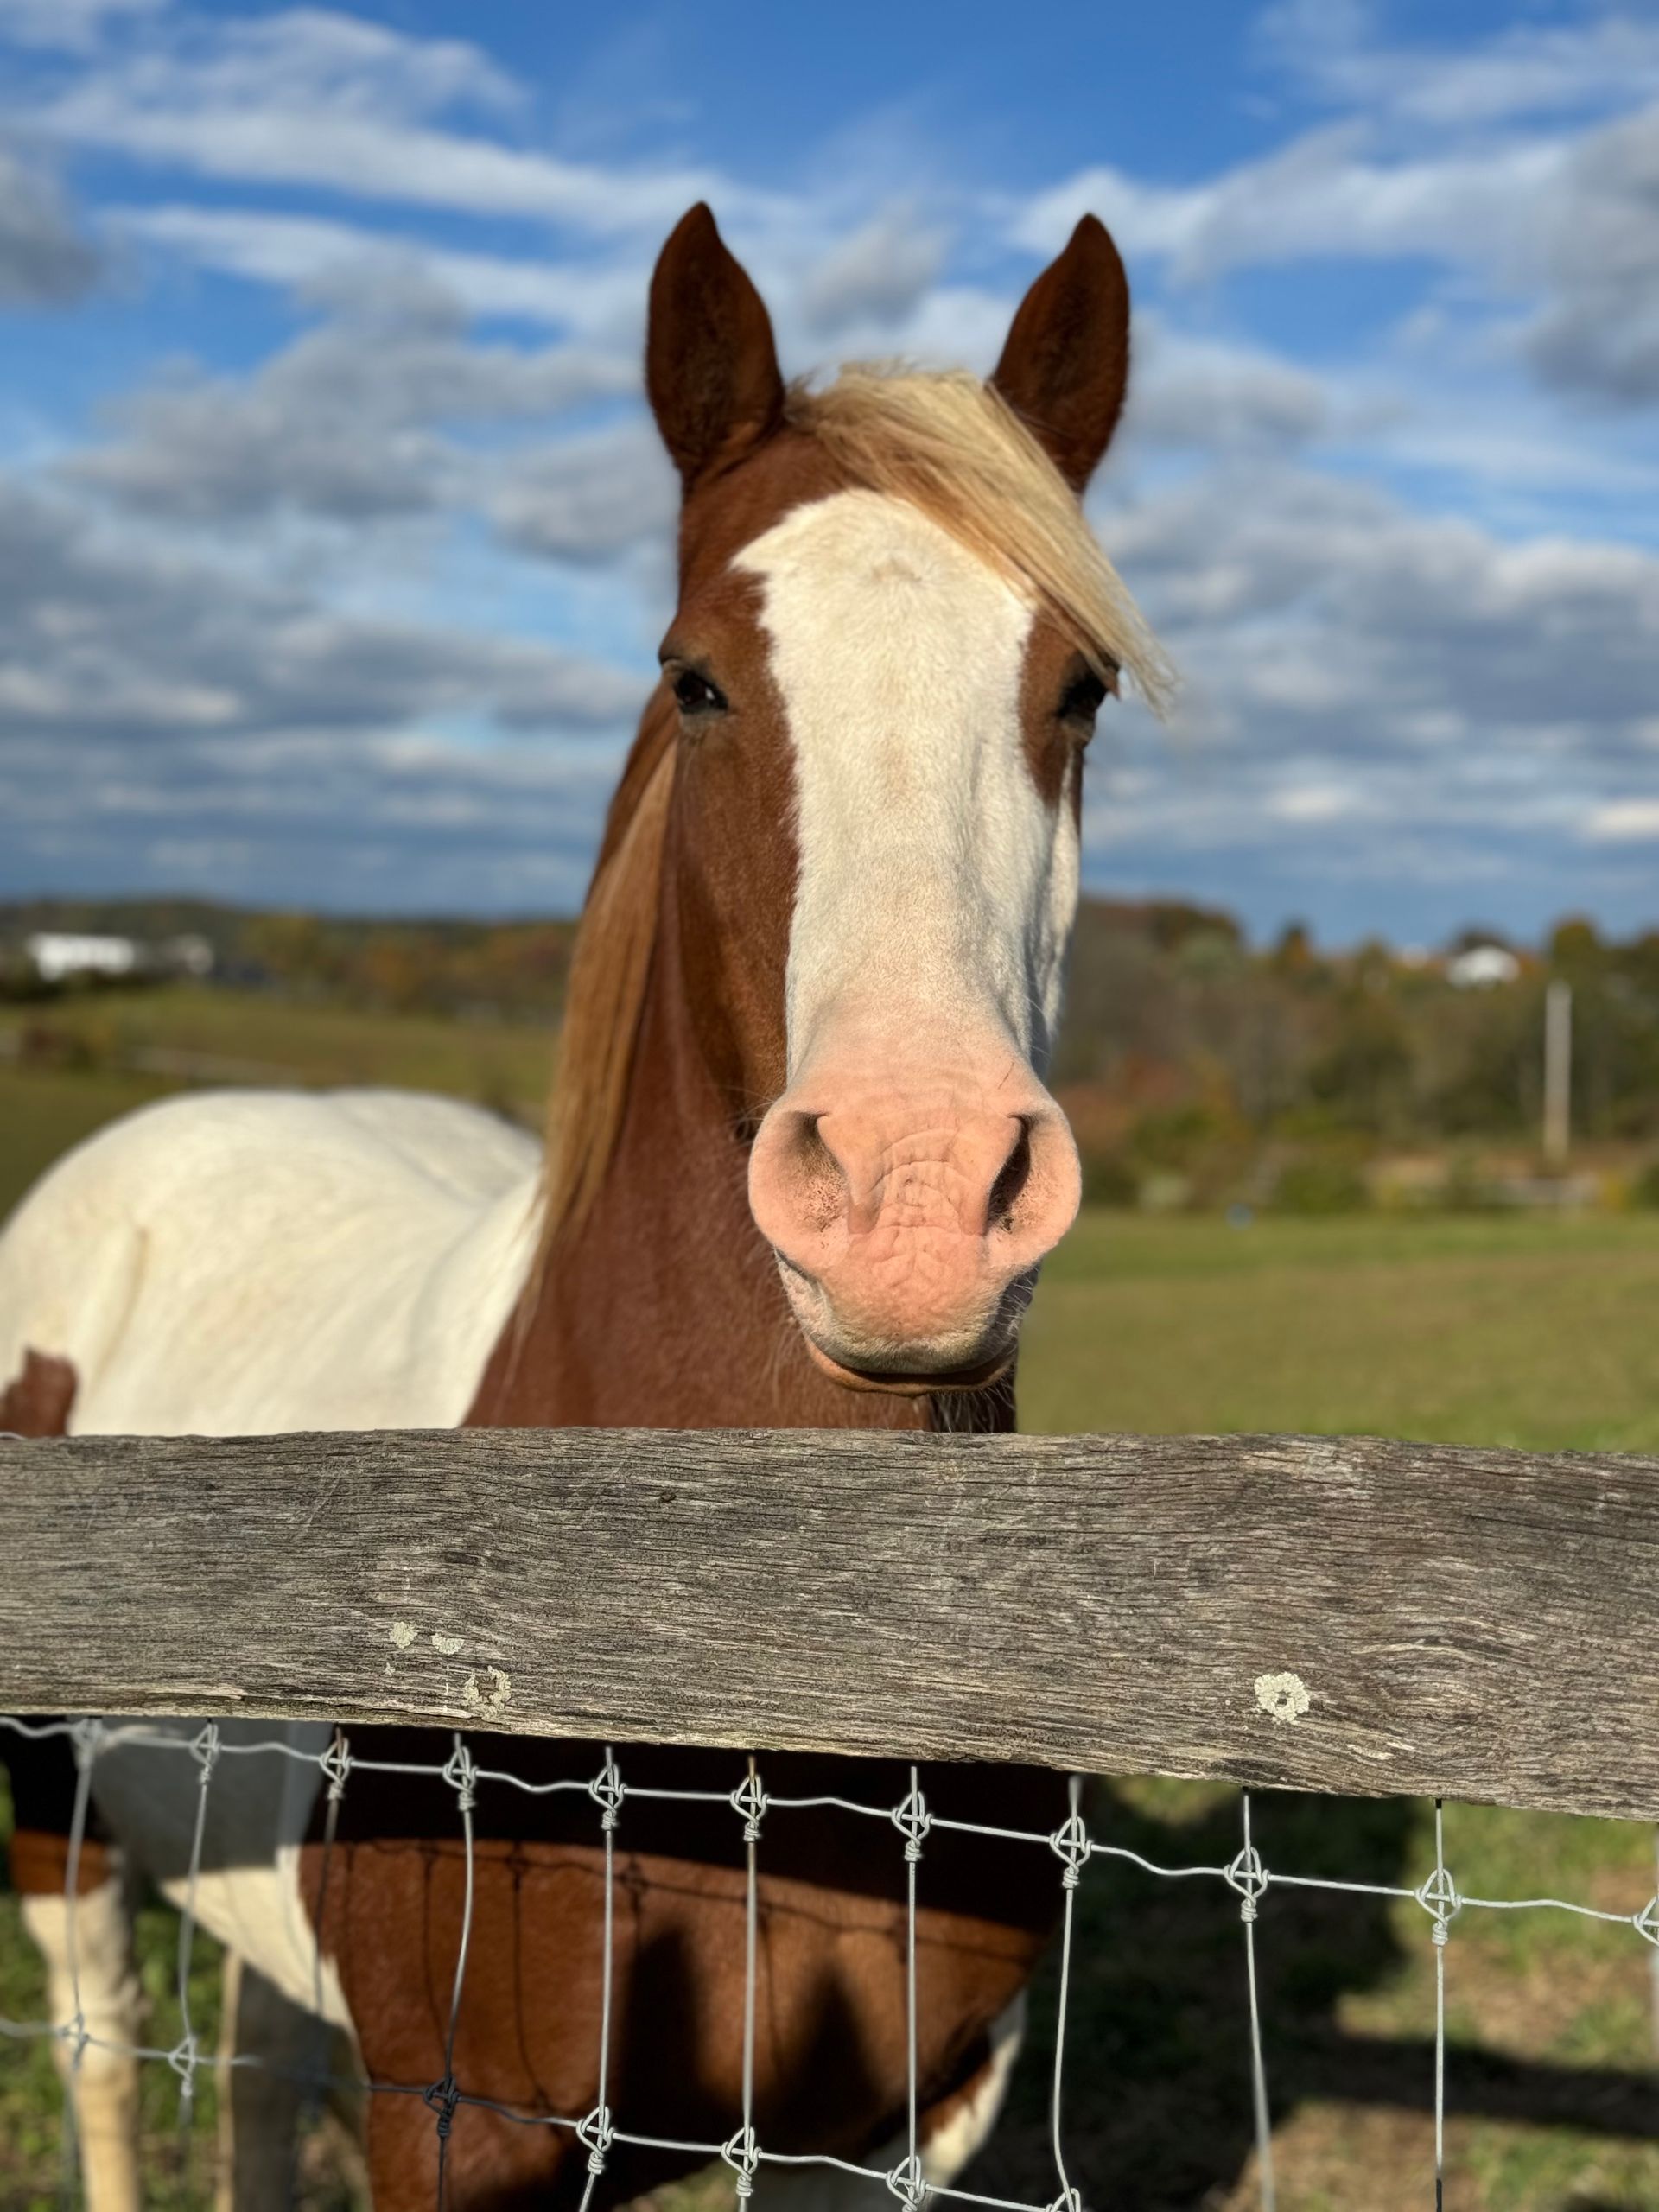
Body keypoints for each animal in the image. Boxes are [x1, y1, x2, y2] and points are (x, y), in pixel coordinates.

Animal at [0, 202, 1171, 2211]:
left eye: (1076, 688)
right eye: (698, 677)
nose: (920, 1196)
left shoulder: (900, 2130)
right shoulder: (454, 2130)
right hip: (54, 1843)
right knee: (97, 2060)